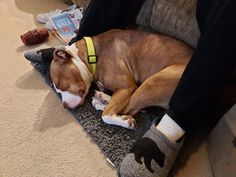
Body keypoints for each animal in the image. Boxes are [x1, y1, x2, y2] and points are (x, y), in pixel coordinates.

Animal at [50, 29, 193, 129]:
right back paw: (103, 98)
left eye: (61, 84)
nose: (65, 106)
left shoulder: (127, 86)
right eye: (58, 91)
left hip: (151, 84)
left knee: (128, 109)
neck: (92, 55)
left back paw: (102, 103)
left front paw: (124, 121)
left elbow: (107, 115)